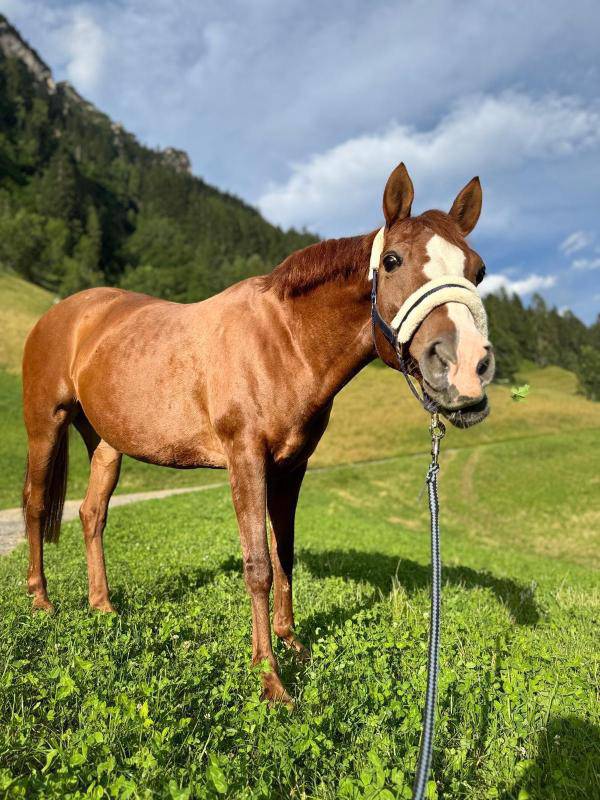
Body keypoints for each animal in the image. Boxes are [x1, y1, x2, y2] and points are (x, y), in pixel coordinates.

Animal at [22, 162, 494, 703]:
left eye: (477, 270)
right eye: (393, 261)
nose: (466, 369)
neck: (283, 342)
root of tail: (63, 313)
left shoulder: (291, 468)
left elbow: (284, 554)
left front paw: (292, 644)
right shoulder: (245, 460)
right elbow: (258, 566)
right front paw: (270, 676)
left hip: (106, 444)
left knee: (92, 514)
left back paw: (102, 604)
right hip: (45, 425)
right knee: (36, 504)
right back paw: (41, 600)